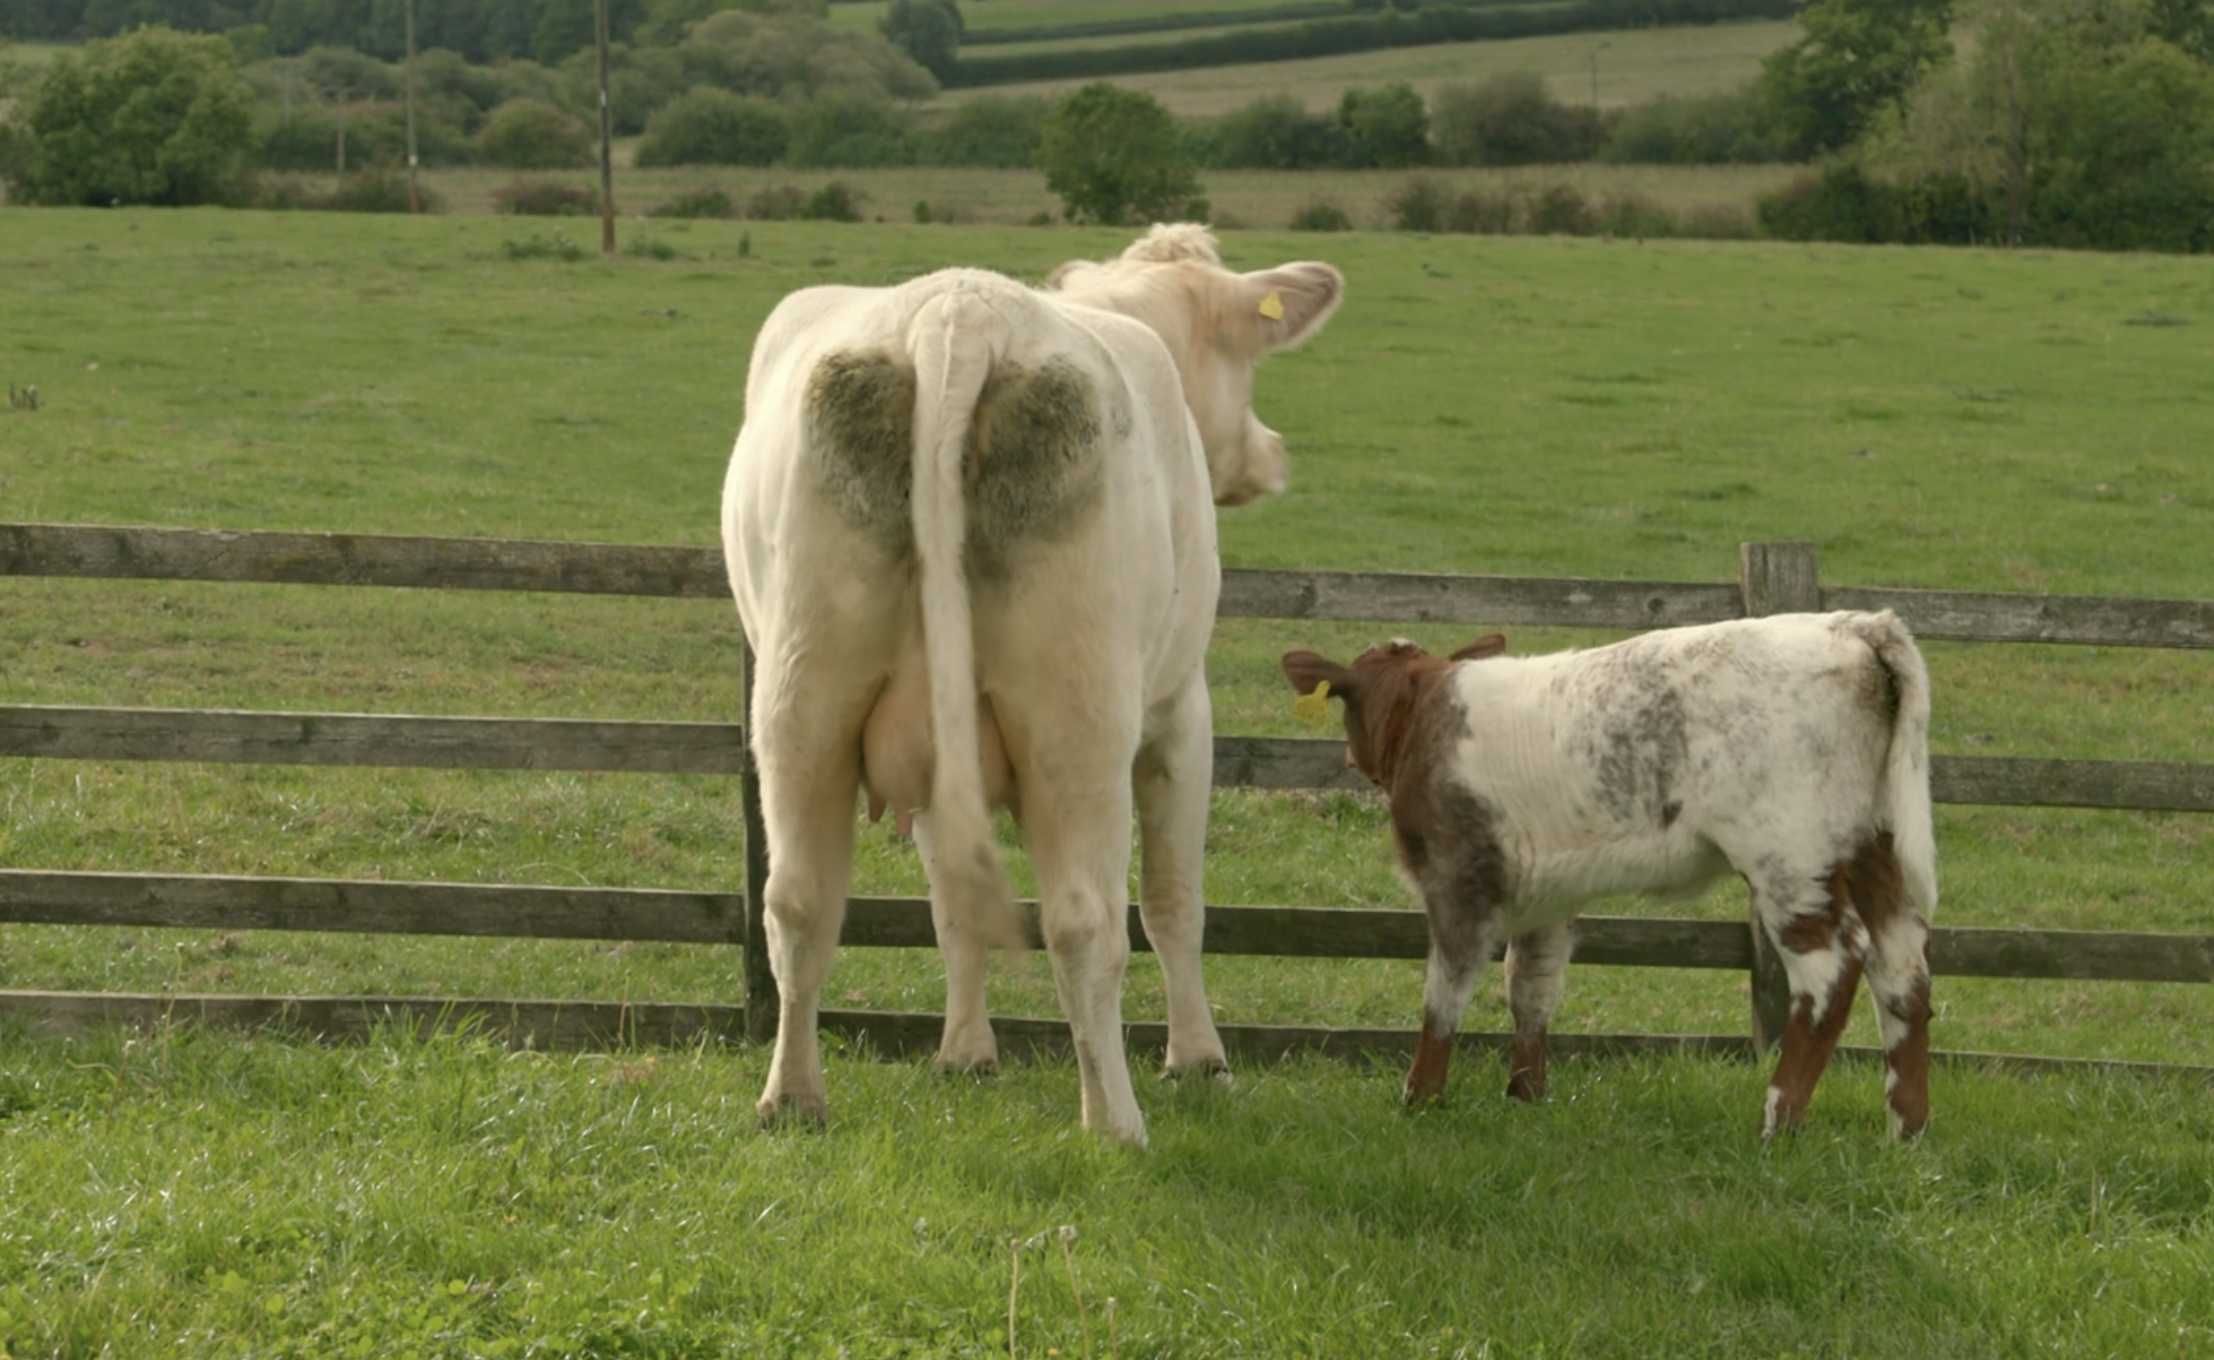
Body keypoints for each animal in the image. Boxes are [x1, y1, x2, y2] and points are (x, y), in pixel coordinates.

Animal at [735, 229, 1337, 1142]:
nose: (1270, 455)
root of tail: (959, 312)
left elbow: (953, 902)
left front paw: (964, 1053)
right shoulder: (1181, 714)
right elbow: (1174, 903)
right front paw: (1200, 1061)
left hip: (803, 698)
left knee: (800, 903)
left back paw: (792, 1100)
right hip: (1079, 717)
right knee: (1087, 920)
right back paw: (1116, 1121)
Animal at [1284, 615, 1939, 1142]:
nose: (1351, 758)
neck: (1426, 712)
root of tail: (1851, 625)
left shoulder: (1457, 876)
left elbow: (1444, 992)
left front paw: (1420, 1098)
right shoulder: (1550, 891)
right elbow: (1532, 987)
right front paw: (1525, 1096)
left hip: (1790, 853)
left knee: (1831, 966)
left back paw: (1778, 1123)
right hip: (1869, 842)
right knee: (1901, 960)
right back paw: (1906, 1128)